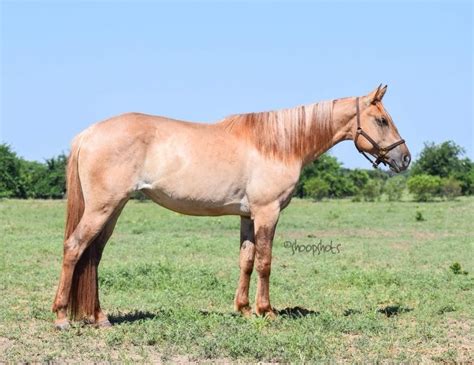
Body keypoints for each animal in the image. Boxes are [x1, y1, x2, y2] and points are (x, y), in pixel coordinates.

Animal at [51, 84, 408, 328]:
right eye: (381, 120)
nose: (404, 158)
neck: (279, 145)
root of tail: (88, 134)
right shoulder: (267, 212)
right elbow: (265, 261)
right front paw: (267, 311)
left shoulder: (248, 216)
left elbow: (246, 261)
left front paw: (245, 309)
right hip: (103, 208)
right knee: (74, 248)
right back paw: (61, 317)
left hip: (114, 209)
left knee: (93, 255)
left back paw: (100, 317)